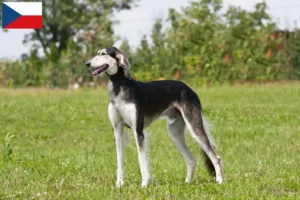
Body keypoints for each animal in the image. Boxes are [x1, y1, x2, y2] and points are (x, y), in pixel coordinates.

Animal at [85, 47, 224, 188]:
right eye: (97, 53)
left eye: (103, 54)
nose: (87, 63)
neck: (120, 86)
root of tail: (189, 89)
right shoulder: (118, 130)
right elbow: (120, 161)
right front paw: (119, 185)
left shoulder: (138, 131)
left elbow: (141, 160)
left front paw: (144, 184)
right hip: (174, 133)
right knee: (191, 159)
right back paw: (187, 182)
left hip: (194, 127)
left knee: (216, 157)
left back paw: (220, 181)